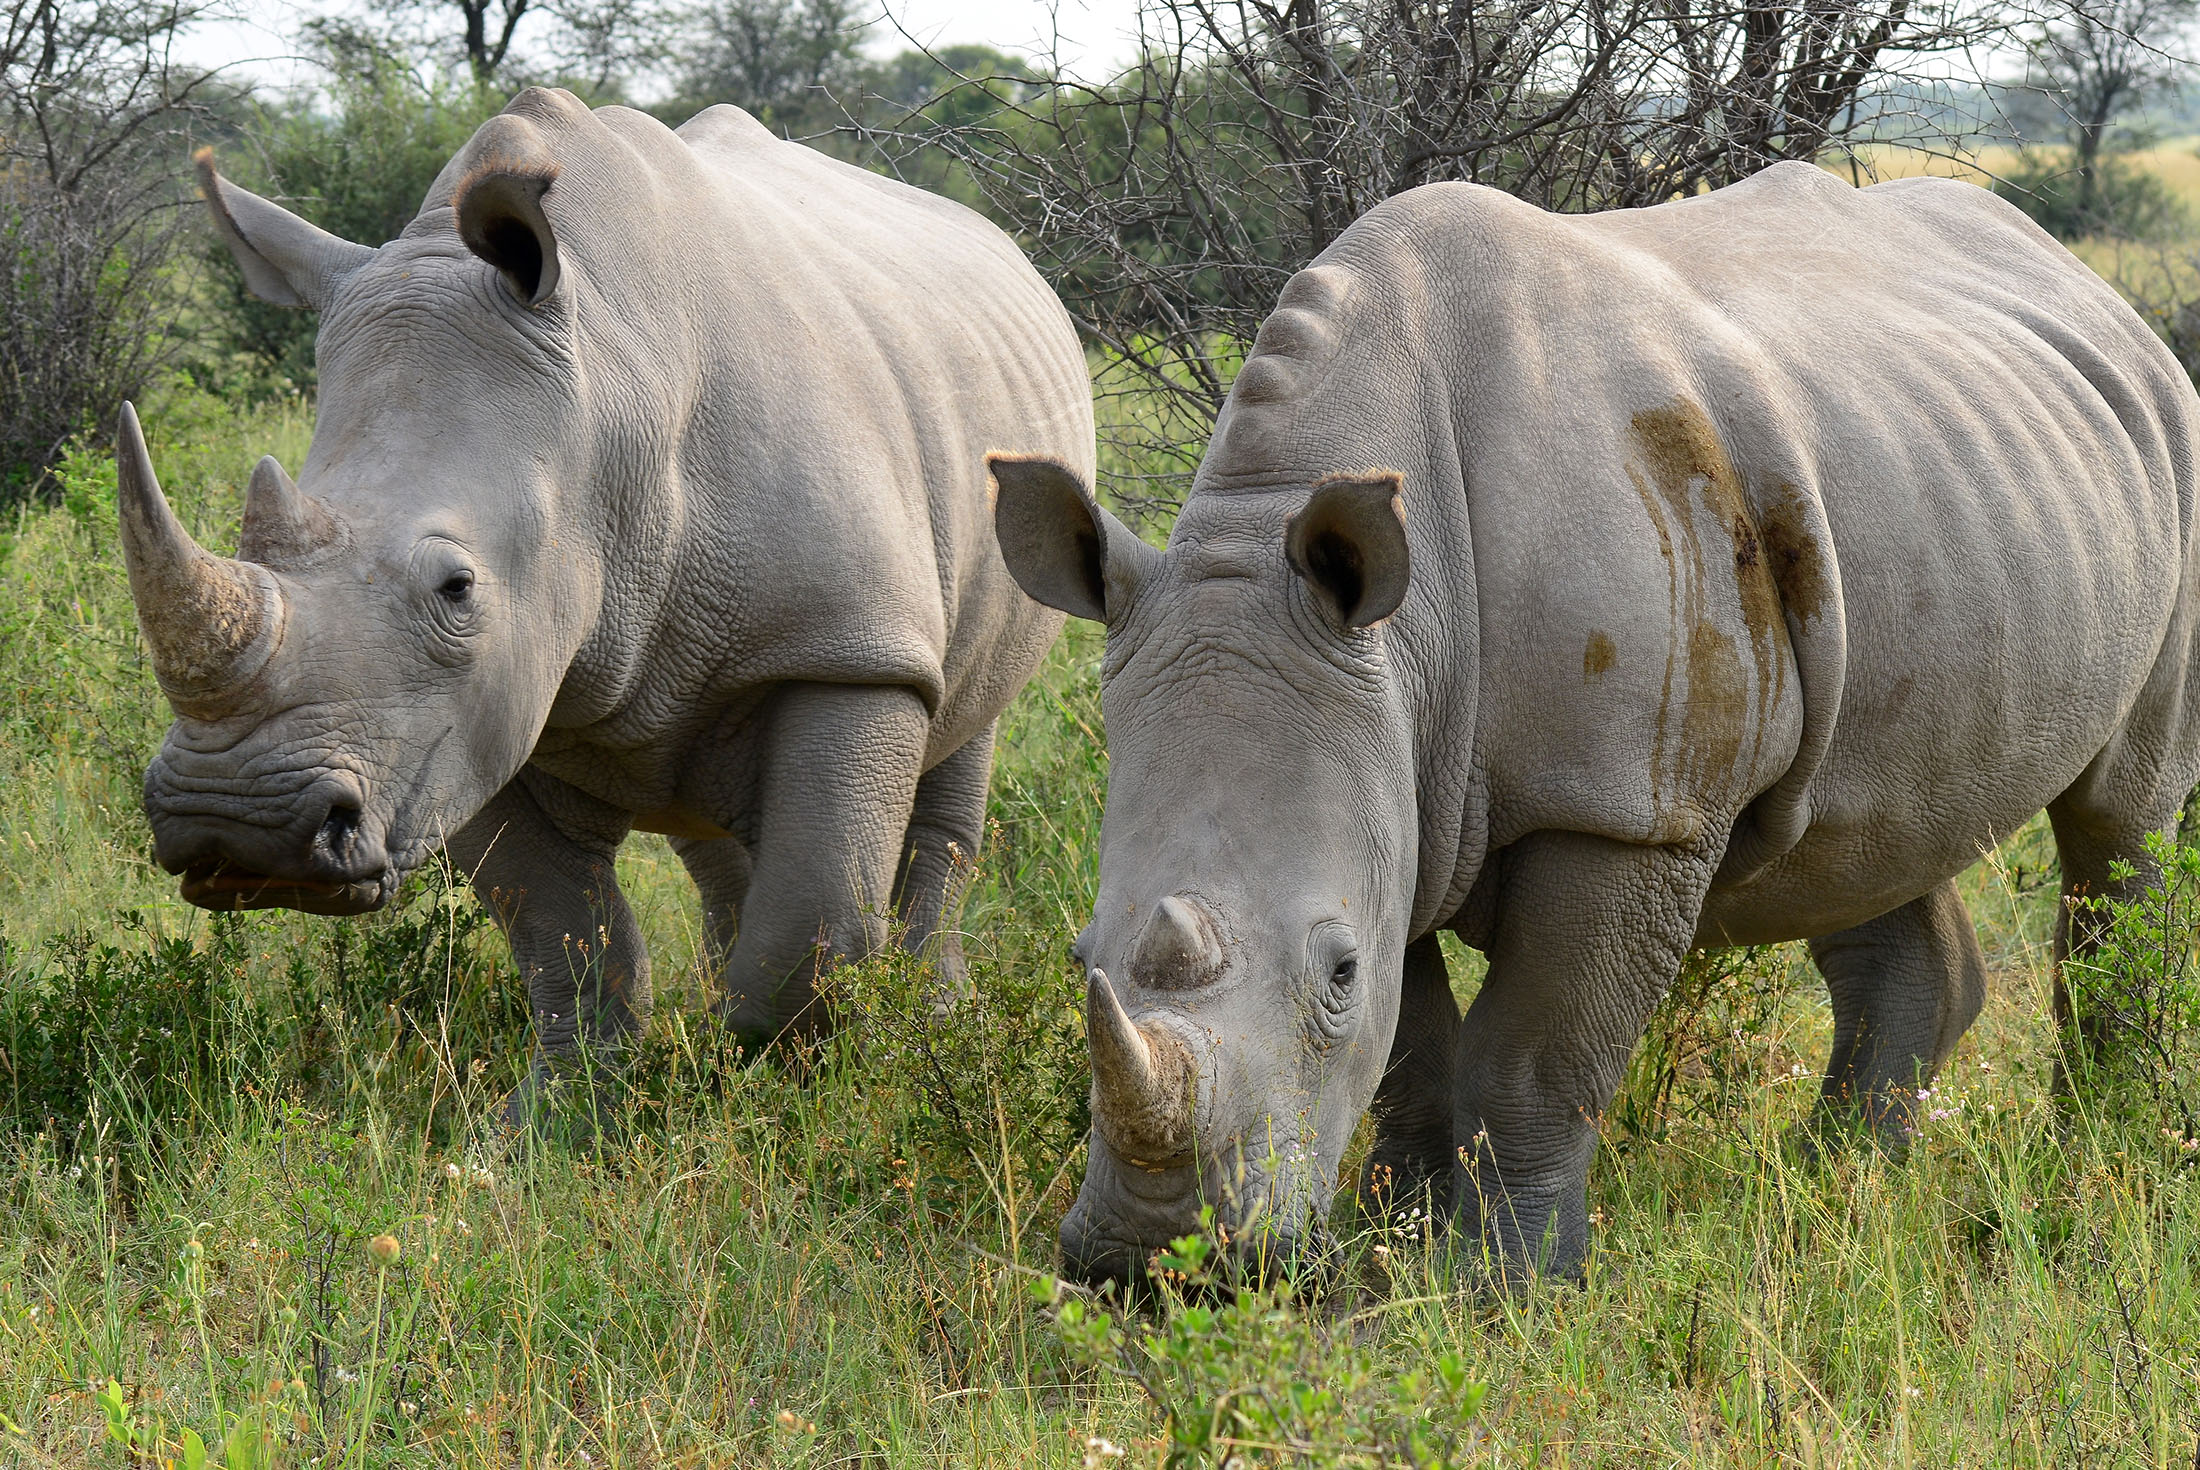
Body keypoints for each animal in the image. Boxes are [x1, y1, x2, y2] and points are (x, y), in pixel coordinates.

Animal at [116, 86, 1095, 1109]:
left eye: (456, 588)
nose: (234, 827)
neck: (607, 412)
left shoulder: (849, 648)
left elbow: (811, 931)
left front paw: (780, 1098)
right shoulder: (463, 723)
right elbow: (566, 936)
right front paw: (556, 1120)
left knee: (959, 744)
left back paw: (932, 1023)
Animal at [998, 163, 2200, 1285]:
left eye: (1334, 971)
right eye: (1078, 955)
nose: (1148, 1267)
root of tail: (2095, 291)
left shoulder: (1625, 807)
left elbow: (1531, 1056)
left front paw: (1503, 1287)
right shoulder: (1395, 771)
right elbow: (1412, 1048)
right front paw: (1395, 1251)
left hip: (2164, 442)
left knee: (2119, 822)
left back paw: (2092, 1155)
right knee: (1865, 830)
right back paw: (1833, 1188)